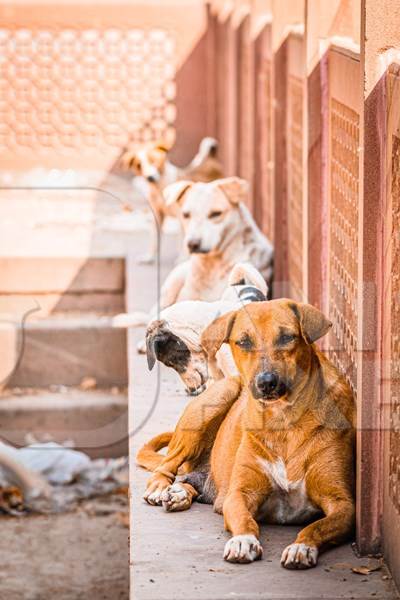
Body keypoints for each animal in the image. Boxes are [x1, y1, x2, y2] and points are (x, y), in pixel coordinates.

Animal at [138, 302, 356, 568]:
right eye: (243, 342)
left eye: (287, 337)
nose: (266, 382)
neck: (284, 418)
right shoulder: (239, 495)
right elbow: (245, 520)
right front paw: (243, 540)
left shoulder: (343, 504)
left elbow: (316, 527)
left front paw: (301, 547)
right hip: (220, 395)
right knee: (168, 465)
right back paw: (161, 487)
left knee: (191, 480)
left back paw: (181, 493)